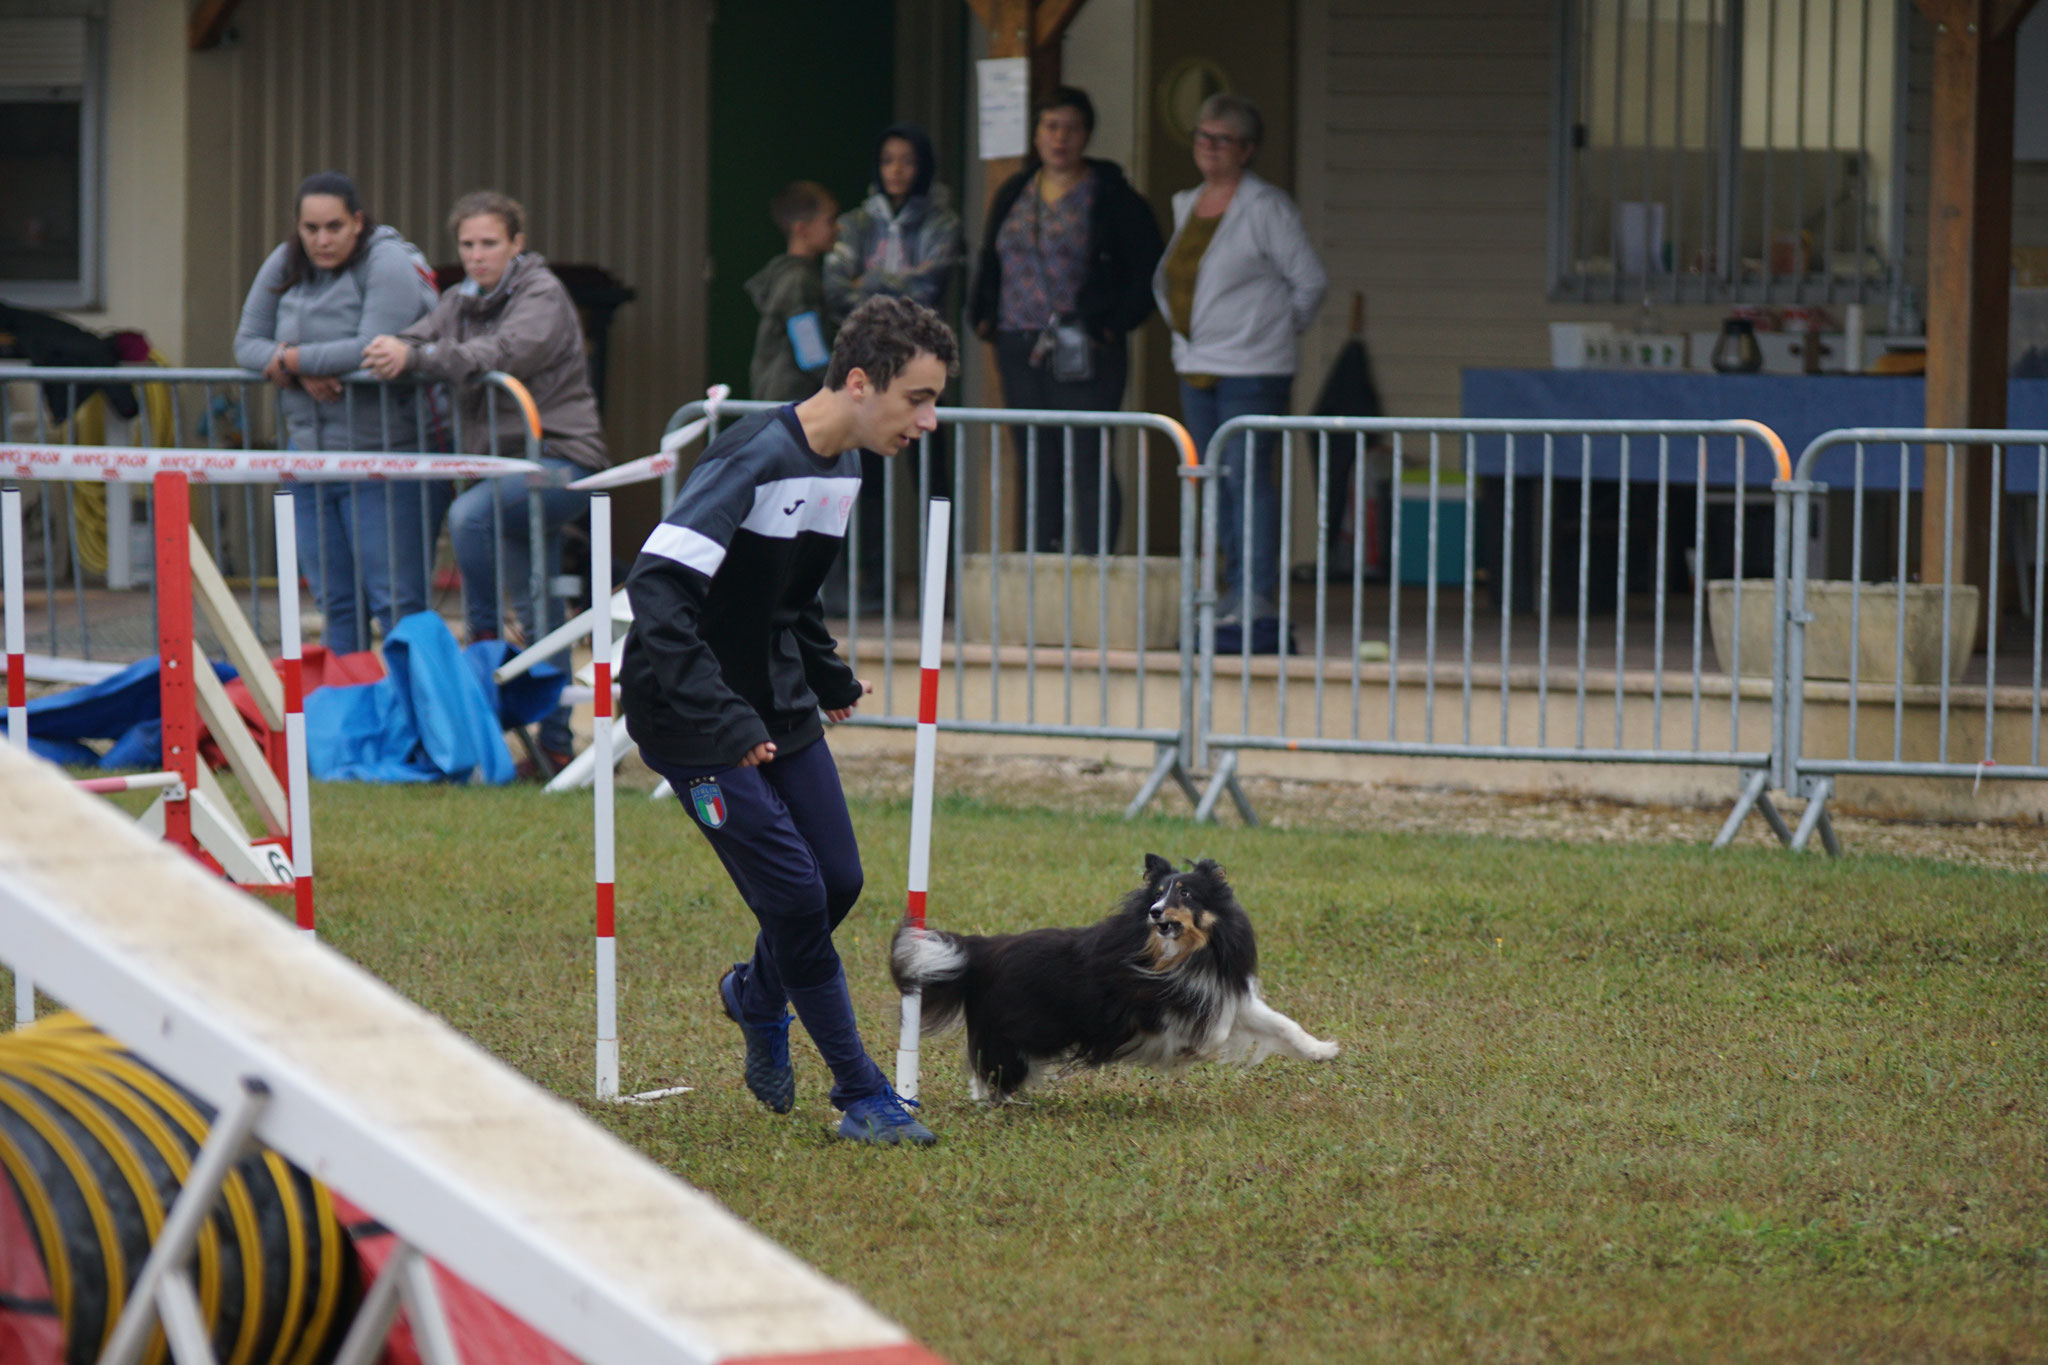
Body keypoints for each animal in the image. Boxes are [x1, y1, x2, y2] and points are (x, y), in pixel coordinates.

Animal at [888, 855, 1335, 1096]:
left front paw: (1323, 1051)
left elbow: (1280, 1024)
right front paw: (1192, 1050)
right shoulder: (1151, 1005)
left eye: (1186, 893)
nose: (1155, 912)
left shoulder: (1224, 993)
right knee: (991, 1069)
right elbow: (1213, 1033)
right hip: (1024, 1032)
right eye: (1157, 894)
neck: (1188, 954)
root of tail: (982, 950)